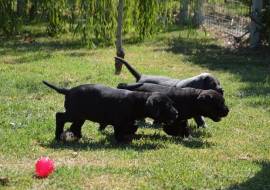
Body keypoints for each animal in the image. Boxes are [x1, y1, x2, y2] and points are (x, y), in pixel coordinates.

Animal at [42, 80, 179, 142]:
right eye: (167, 106)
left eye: (172, 104)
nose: (177, 113)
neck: (137, 101)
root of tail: (68, 90)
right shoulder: (119, 121)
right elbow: (119, 131)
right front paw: (122, 141)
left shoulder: (128, 121)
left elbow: (131, 127)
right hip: (73, 113)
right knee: (59, 117)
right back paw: (58, 136)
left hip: (80, 116)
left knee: (75, 126)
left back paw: (78, 136)